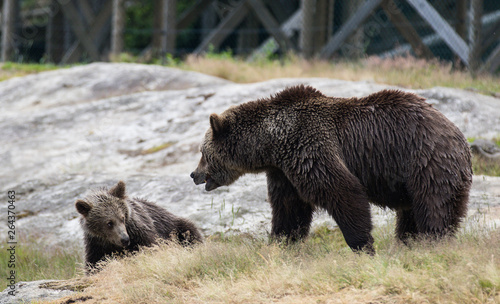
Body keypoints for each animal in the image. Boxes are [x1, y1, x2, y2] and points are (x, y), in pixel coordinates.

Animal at [189, 84, 470, 253]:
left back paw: (432, 243)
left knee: (434, 208)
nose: (194, 174)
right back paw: (407, 244)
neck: (272, 144)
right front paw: (281, 243)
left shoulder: (311, 147)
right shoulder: (284, 172)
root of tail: (458, 134)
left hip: (426, 162)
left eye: (202, 152)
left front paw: (363, 246)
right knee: (412, 213)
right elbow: (289, 210)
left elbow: (342, 191)